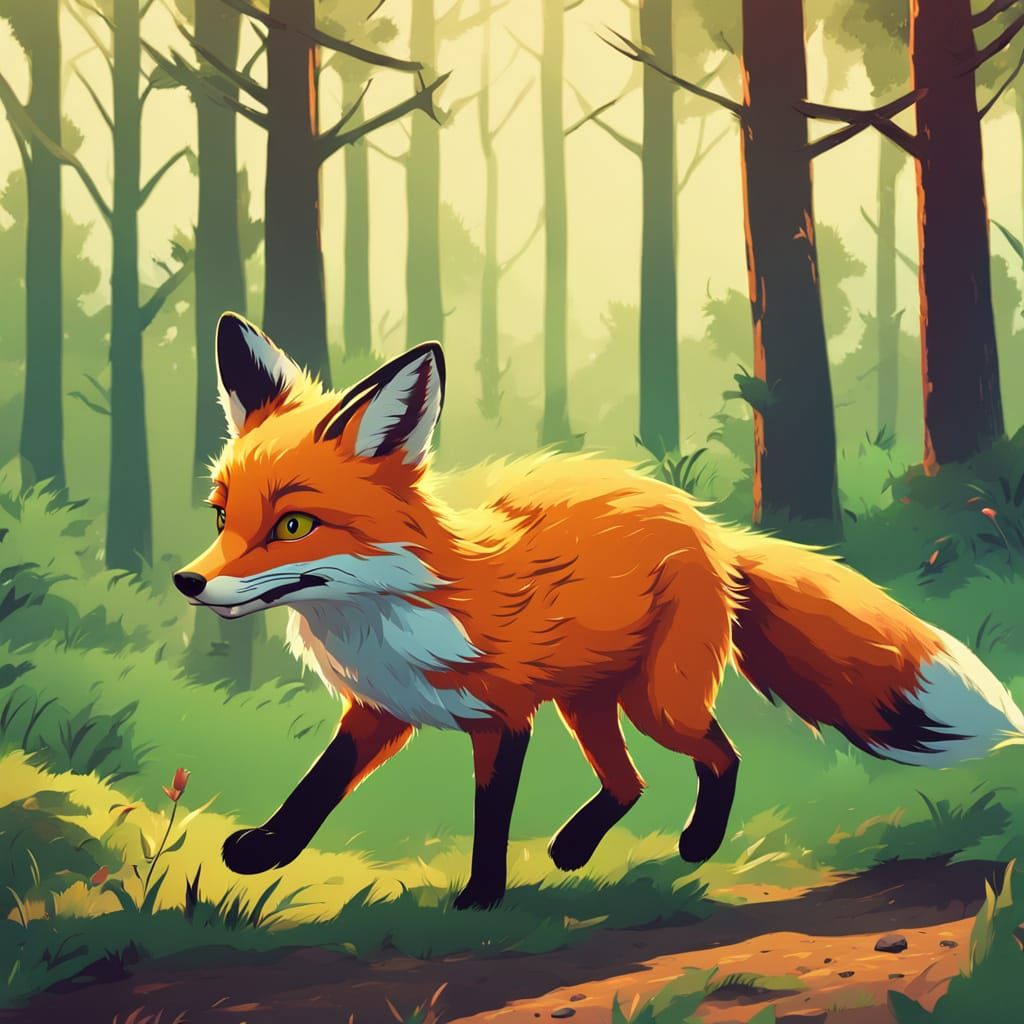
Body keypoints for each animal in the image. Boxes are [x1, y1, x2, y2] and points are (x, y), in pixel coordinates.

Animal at [175, 312, 1024, 910]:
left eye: (292, 526)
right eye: (221, 517)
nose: (187, 582)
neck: (385, 613)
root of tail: (704, 523)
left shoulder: (503, 719)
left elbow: (489, 817)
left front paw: (481, 898)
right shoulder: (380, 711)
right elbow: (314, 788)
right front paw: (264, 853)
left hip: (657, 701)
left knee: (719, 755)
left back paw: (695, 844)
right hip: (588, 703)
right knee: (630, 783)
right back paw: (576, 849)